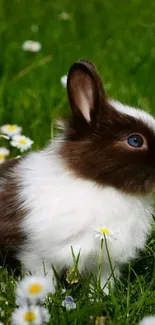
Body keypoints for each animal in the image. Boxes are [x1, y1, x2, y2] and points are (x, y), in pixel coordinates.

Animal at [0, 58, 154, 294]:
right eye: (135, 140)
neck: (98, 185)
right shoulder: (37, 255)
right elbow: (42, 279)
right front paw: (45, 299)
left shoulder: (105, 263)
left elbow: (102, 283)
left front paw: (98, 298)